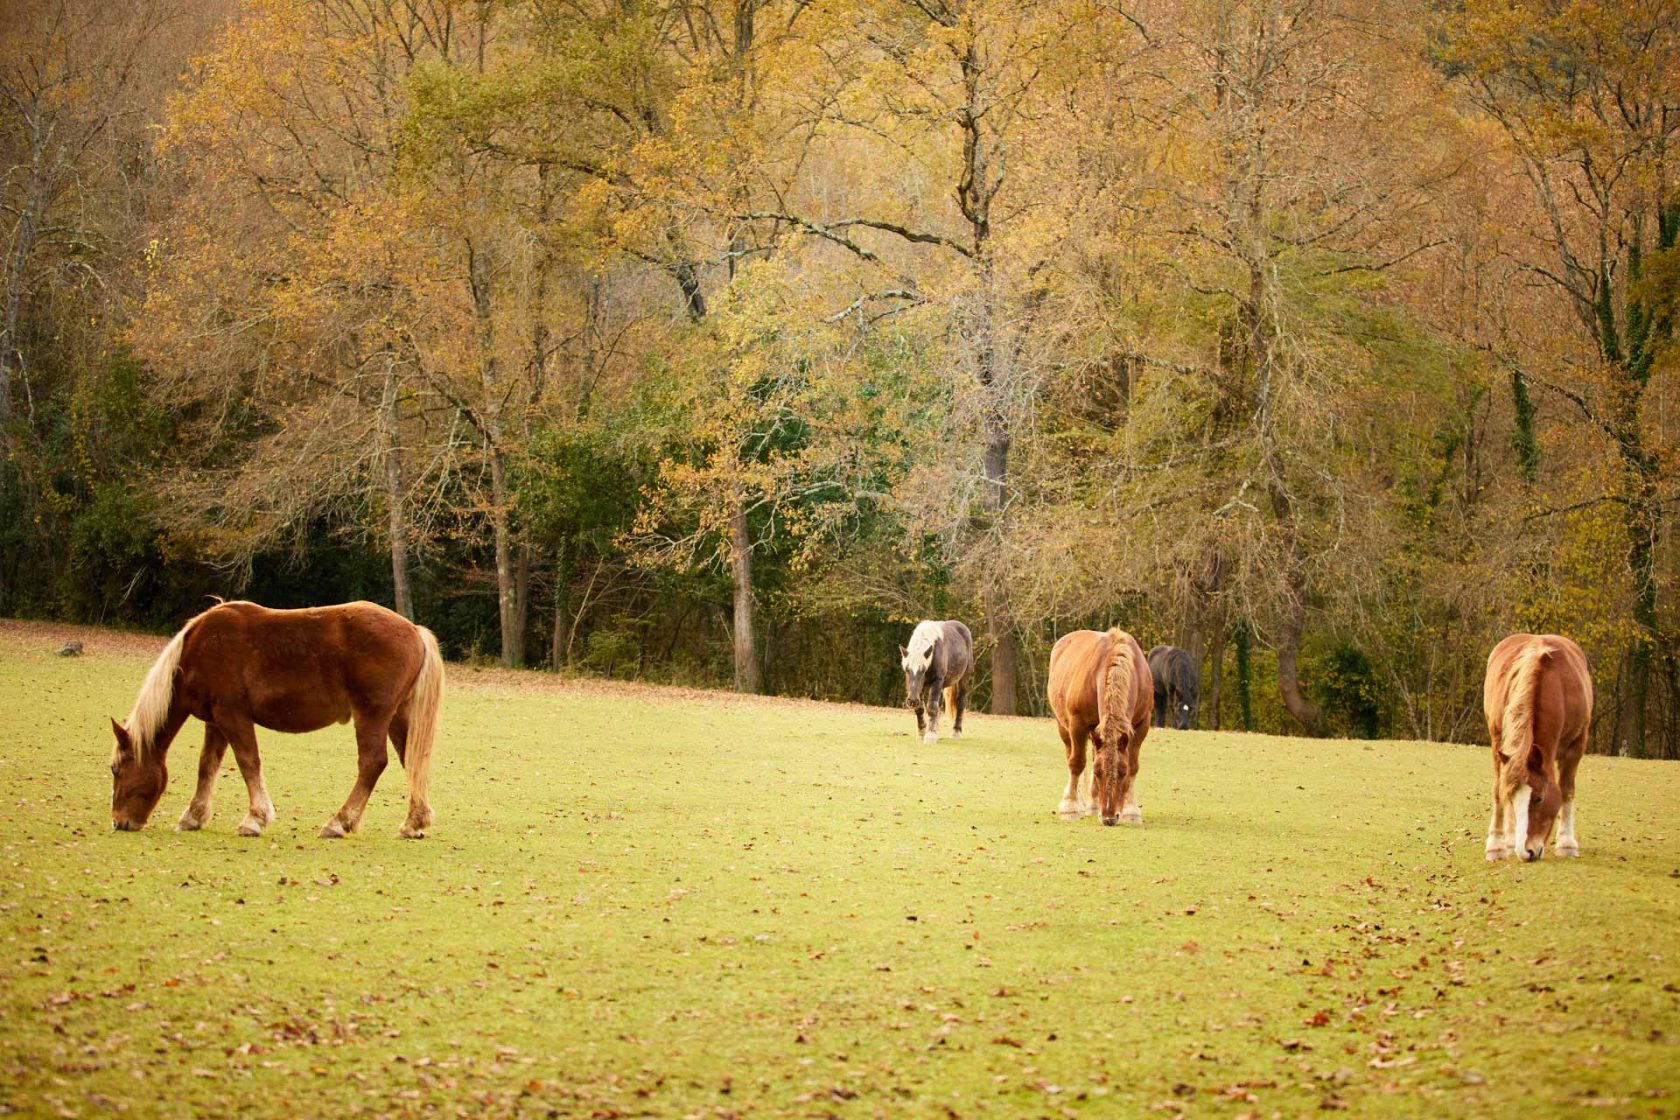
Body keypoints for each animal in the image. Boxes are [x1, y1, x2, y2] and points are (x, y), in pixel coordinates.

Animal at [108, 604, 443, 839]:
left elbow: (248, 762)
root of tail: (414, 631)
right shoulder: (215, 722)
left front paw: (254, 819)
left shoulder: (232, 715)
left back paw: (339, 822)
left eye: (116, 769)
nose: (119, 821)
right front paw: (193, 816)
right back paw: (413, 823)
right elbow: (207, 766)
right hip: (397, 718)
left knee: (373, 763)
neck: (199, 650)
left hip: (372, 716)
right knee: (411, 762)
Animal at [1048, 628, 1155, 829]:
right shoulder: (1078, 724)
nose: (1109, 817)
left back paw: (1093, 803)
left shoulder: (1142, 724)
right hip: (1064, 727)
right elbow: (1077, 763)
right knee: (1071, 755)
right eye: (1098, 773)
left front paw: (1131, 810)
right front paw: (1071, 807)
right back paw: (1077, 801)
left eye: (1122, 772)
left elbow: (1134, 765)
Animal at [1485, 634, 1585, 866]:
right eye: (1513, 800)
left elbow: (1567, 790)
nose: (1526, 852)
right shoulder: (1498, 743)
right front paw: (1496, 846)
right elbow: (1498, 790)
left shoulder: (1576, 745)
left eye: (1539, 798)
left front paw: (1567, 843)